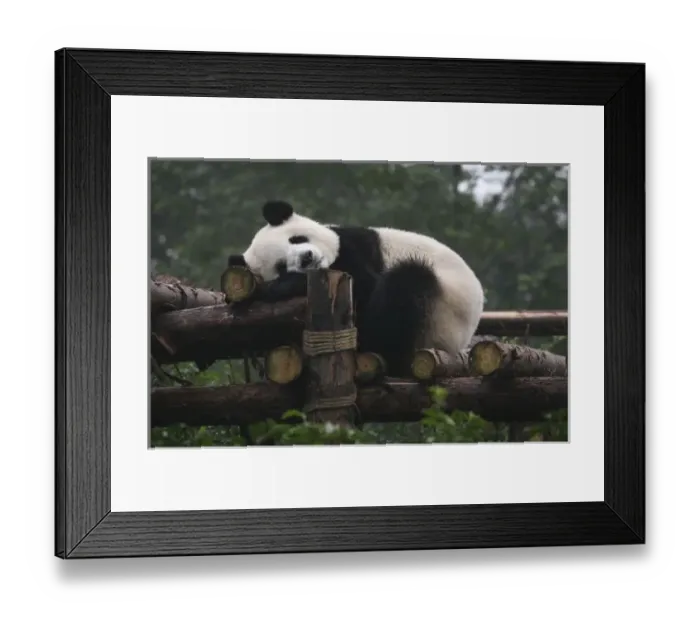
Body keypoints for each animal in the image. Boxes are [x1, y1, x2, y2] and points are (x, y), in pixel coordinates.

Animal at [227, 200, 485, 378]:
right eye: (280, 266)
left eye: (297, 239)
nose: (306, 259)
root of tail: (459, 342)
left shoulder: (354, 247)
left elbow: (366, 286)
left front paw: (283, 287)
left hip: (443, 311)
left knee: (406, 283)